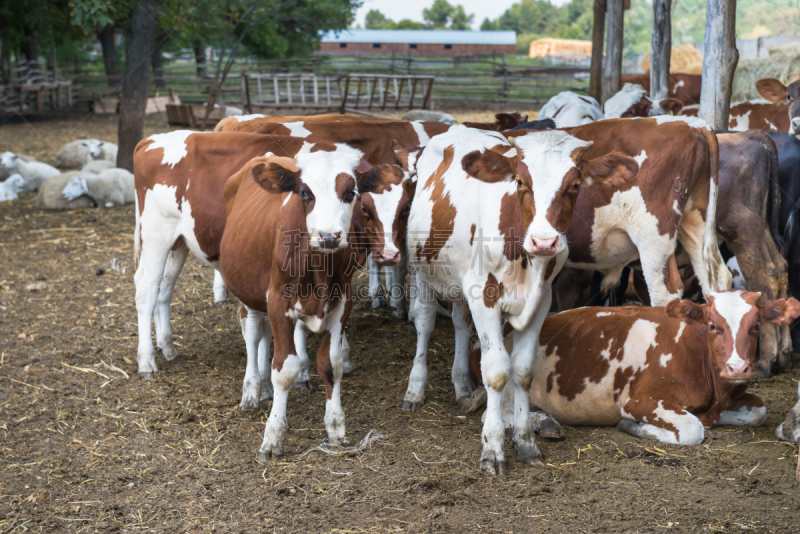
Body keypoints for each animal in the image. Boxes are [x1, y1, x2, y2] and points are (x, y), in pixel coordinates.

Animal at [406, 126, 636, 478]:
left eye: (575, 185)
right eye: (519, 182)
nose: (544, 241)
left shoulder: (541, 300)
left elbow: (524, 369)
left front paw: (525, 440)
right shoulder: (483, 295)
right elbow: (497, 370)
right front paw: (492, 448)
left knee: (459, 323)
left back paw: (462, 384)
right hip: (422, 269)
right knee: (424, 321)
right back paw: (415, 388)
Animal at [468, 294, 800, 448]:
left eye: (755, 326)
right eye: (712, 325)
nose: (737, 367)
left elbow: (758, 412)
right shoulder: (640, 400)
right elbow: (693, 428)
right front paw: (636, 427)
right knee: (498, 415)